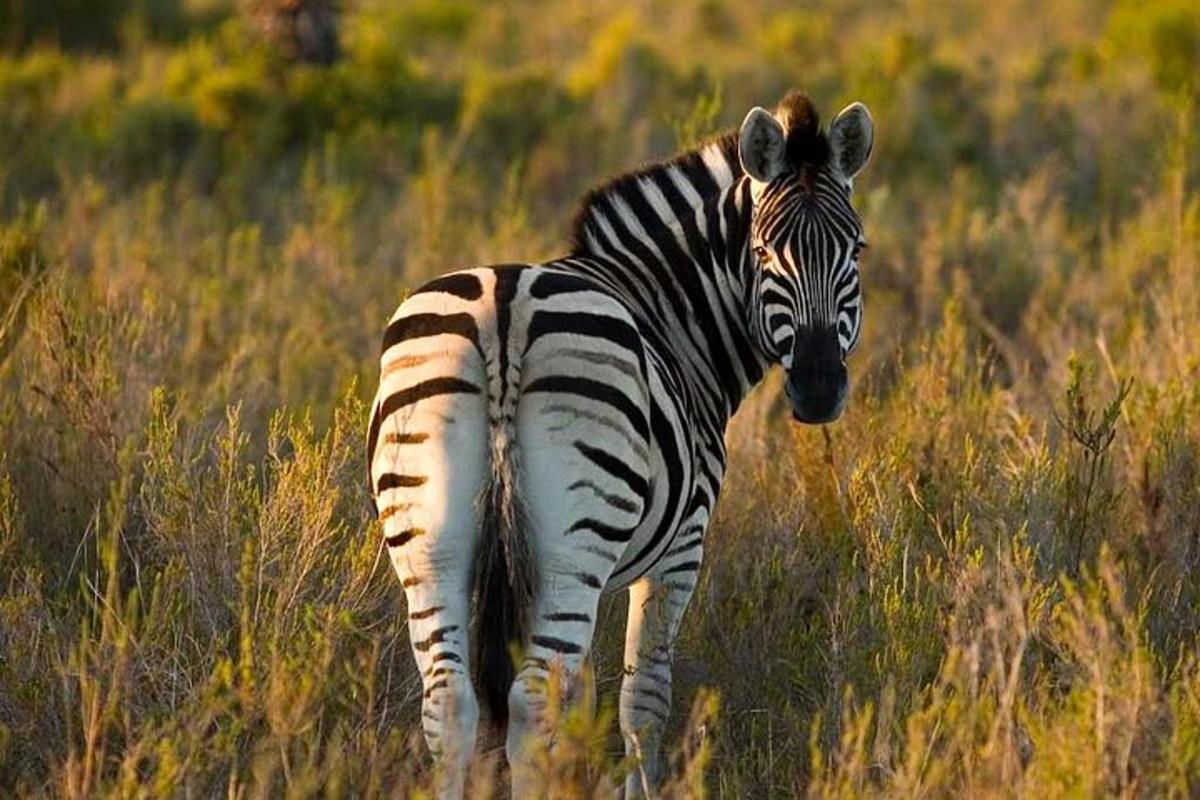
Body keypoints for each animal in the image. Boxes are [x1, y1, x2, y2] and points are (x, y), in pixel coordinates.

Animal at [364, 90, 873, 796]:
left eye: (855, 250)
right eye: (765, 252)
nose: (820, 388)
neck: (674, 315)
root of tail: (503, 308)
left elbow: (581, 700)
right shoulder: (681, 547)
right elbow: (644, 701)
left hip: (429, 534)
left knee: (451, 701)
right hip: (573, 537)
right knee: (530, 702)